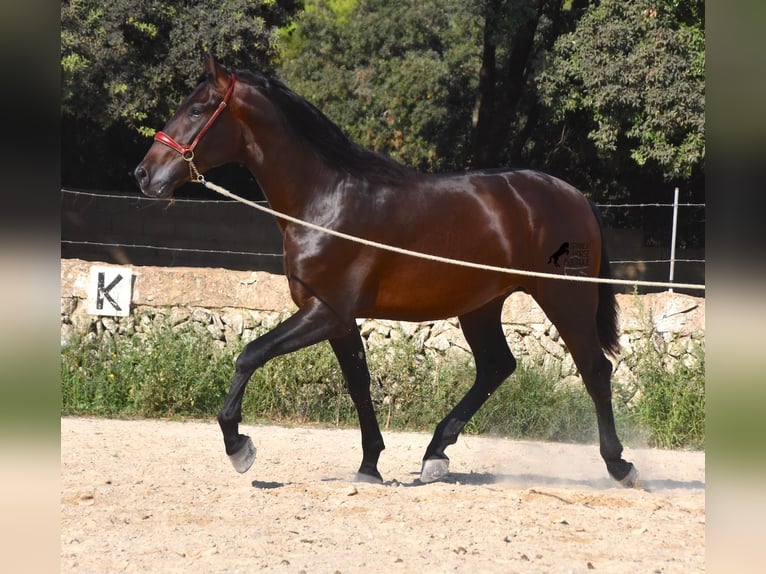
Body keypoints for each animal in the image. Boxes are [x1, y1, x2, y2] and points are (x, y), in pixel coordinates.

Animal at [135, 54, 640, 488]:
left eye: (197, 109)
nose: (143, 174)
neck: (324, 201)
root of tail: (575, 197)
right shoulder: (338, 320)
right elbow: (359, 384)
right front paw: (369, 464)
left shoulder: (325, 312)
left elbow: (250, 354)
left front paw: (238, 445)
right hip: (480, 306)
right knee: (497, 366)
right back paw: (435, 453)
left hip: (565, 298)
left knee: (595, 370)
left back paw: (620, 465)